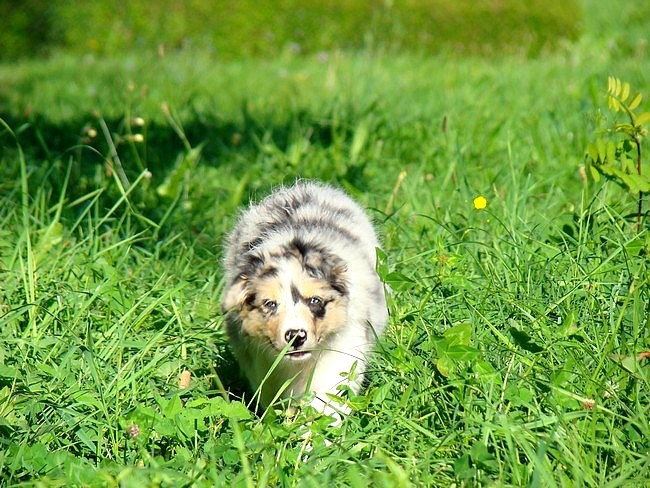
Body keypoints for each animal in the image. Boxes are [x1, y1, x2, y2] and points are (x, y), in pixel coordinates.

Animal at [220, 181, 388, 418]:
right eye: (270, 304)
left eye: (315, 301)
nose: (295, 336)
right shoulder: (261, 368)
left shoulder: (343, 351)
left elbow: (327, 402)